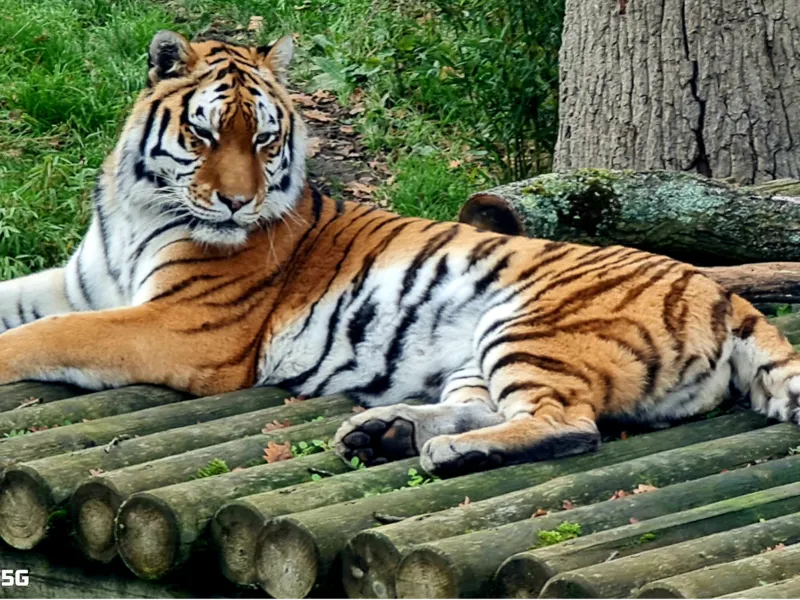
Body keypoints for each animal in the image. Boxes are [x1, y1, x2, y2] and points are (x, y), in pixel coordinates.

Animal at [0, 31, 798, 477]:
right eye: (204, 134)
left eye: (263, 138)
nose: (236, 204)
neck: (138, 207)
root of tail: (726, 294)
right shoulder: (84, 286)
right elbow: (25, 306)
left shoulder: (184, 326)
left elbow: (51, 336)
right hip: (480, 353)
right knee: (488, 408)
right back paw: (385, 431)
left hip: (531, 325)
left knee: (574, 425)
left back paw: (443, 451)